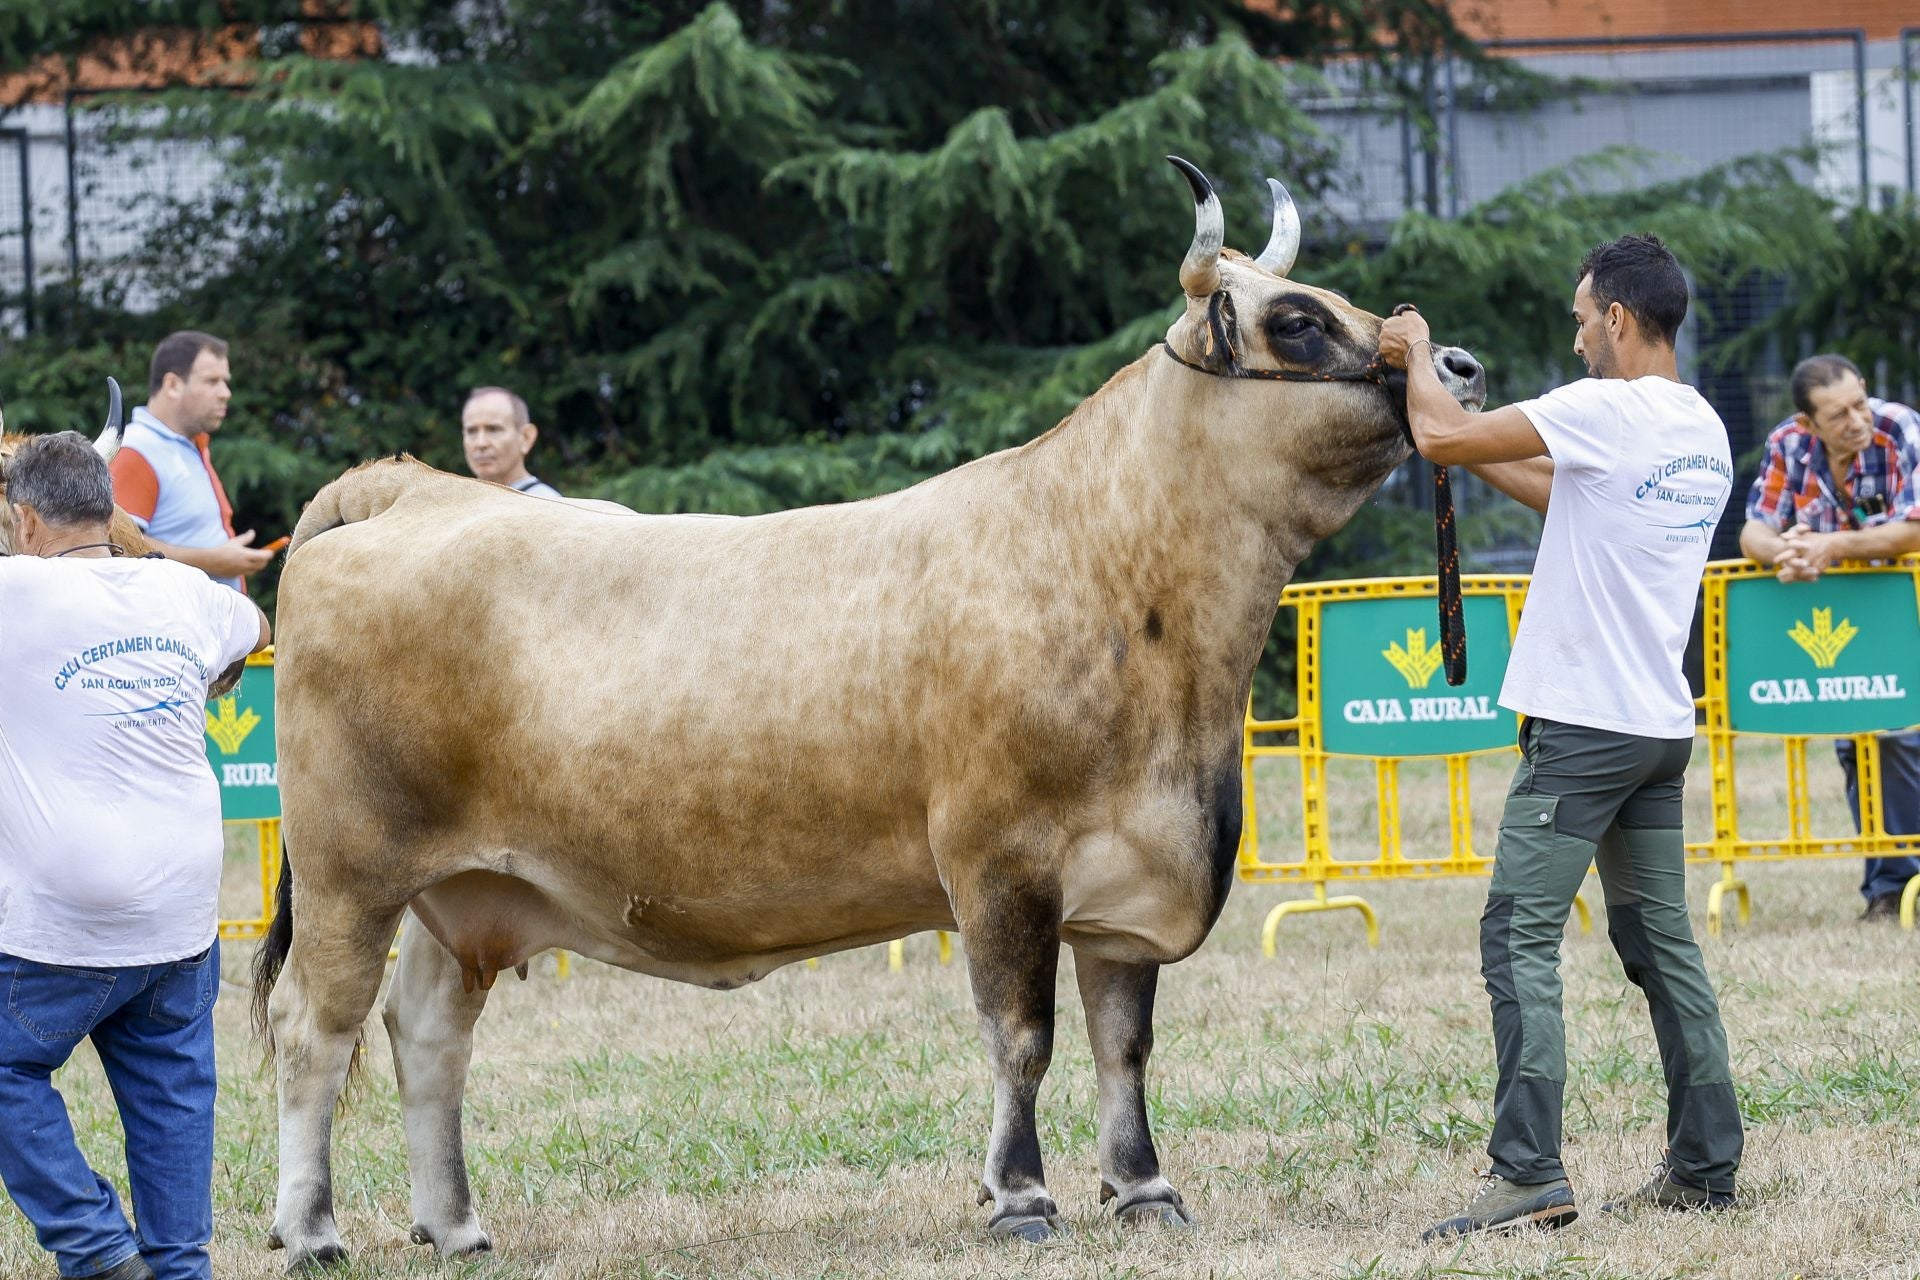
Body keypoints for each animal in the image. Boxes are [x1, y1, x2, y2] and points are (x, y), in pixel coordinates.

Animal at [252, 158, 1487, 1268]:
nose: (1460, 364)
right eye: (1298, 319)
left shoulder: (1132, 867)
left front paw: (1144, 1190)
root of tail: (413, 488)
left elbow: (1124, 1042)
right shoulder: (999, 860)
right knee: (314, 1029)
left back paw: (457, 1225)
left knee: (425, 1034)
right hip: (350, 869)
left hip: (465, 883)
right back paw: (311, 1231)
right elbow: (1022, 1036)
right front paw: (1020, 1197)